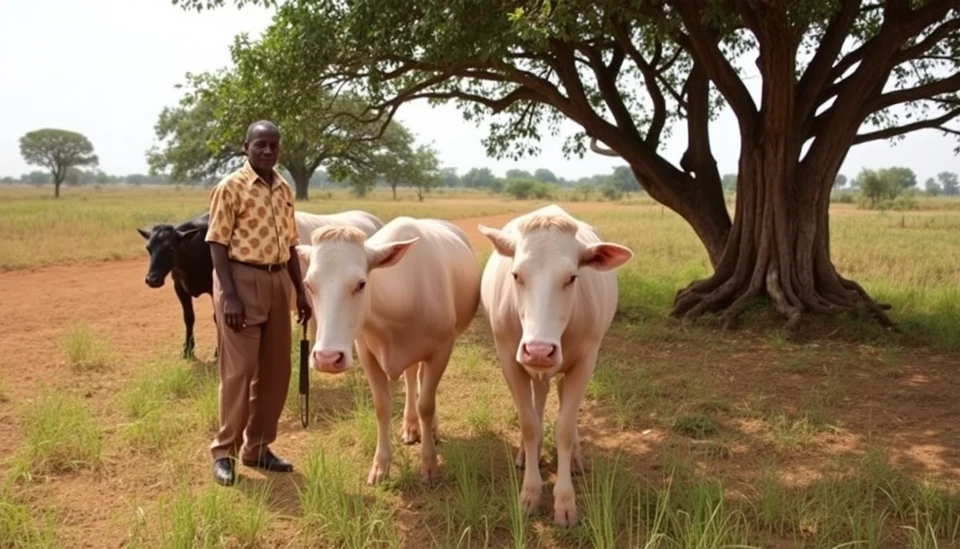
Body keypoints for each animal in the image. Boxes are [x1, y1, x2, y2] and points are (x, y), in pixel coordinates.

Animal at [138, 211, 217, 360]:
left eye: (170, 248)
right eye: (148, 248)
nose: (152, 279)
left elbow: (217, 318)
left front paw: (217, 351)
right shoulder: (179, 288)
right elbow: (189, 317)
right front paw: (187, 349)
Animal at [292, 216, 480, 482]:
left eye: (361, 284)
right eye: (309, 285)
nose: (327, 358)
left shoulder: (442, 351)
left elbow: (427, 404)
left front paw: (429, 462)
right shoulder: (366, 354)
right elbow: (382, 407)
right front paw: (380, 465)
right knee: (412, 378)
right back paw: (411, 425)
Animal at [476, 203, 632, 524]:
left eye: (572, 277)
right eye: (516, 275)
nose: (539, 350)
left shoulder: (585, 361)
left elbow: (563, 428)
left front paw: (564, 500)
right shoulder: (509, 358)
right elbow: (529, 425)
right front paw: (530, 492)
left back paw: (575, 457)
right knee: (540, 398)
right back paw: (529, 454)